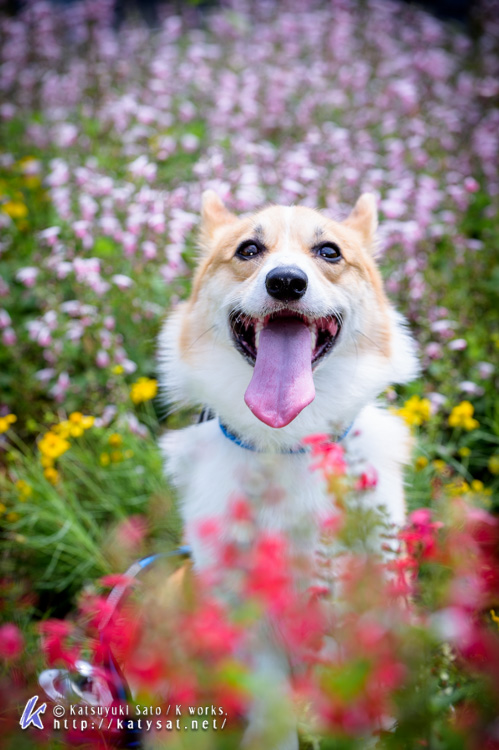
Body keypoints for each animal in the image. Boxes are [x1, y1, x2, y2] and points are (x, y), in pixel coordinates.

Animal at [158, 191, 420, 748]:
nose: (285, 282)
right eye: (248, 249)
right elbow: (271, 706)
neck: (288, 443)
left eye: (329, 252)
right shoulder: (246, 616)